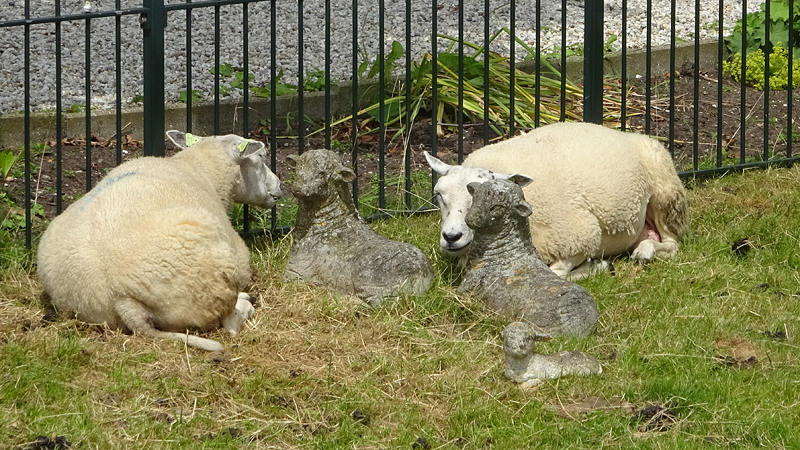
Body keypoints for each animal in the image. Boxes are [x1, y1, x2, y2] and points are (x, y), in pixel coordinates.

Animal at [36, 130, 283, 351]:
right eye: (262, 156)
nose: (280, 185)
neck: (200, 169)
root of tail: (119, 297)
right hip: (211, 284)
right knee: (229, 323)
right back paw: (247, 302)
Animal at [284, 149, 433, 306]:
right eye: (298, 168)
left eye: (322, 173)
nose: (298, 188)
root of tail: (423, 274)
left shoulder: (296, 273)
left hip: (370, 281)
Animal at [425, 121, 689, 280]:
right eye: (438, 194)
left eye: (493, 198)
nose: (451, 237)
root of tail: (625, 133)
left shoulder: (579, 237)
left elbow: (557, 274)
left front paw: (597, 266)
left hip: (665, 193)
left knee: (673, 243)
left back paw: (646, 251)